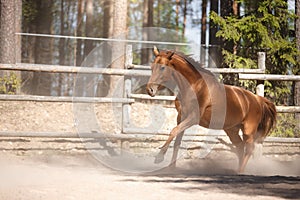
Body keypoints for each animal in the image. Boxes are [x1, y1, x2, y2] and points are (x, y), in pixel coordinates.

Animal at [146, 46, 276, 172]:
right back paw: (237, 170)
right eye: (152, 67)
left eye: (162, 67)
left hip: (248, 130)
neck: (194, 87)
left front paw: (159, 157)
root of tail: (258, 99)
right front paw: (171, 168)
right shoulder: (181, 117)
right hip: (232, 130)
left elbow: (173, 131)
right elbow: (177, 140)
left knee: (249, 149)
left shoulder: (193, 118)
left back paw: (240, 171)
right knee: (240, 147)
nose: (150, 90)